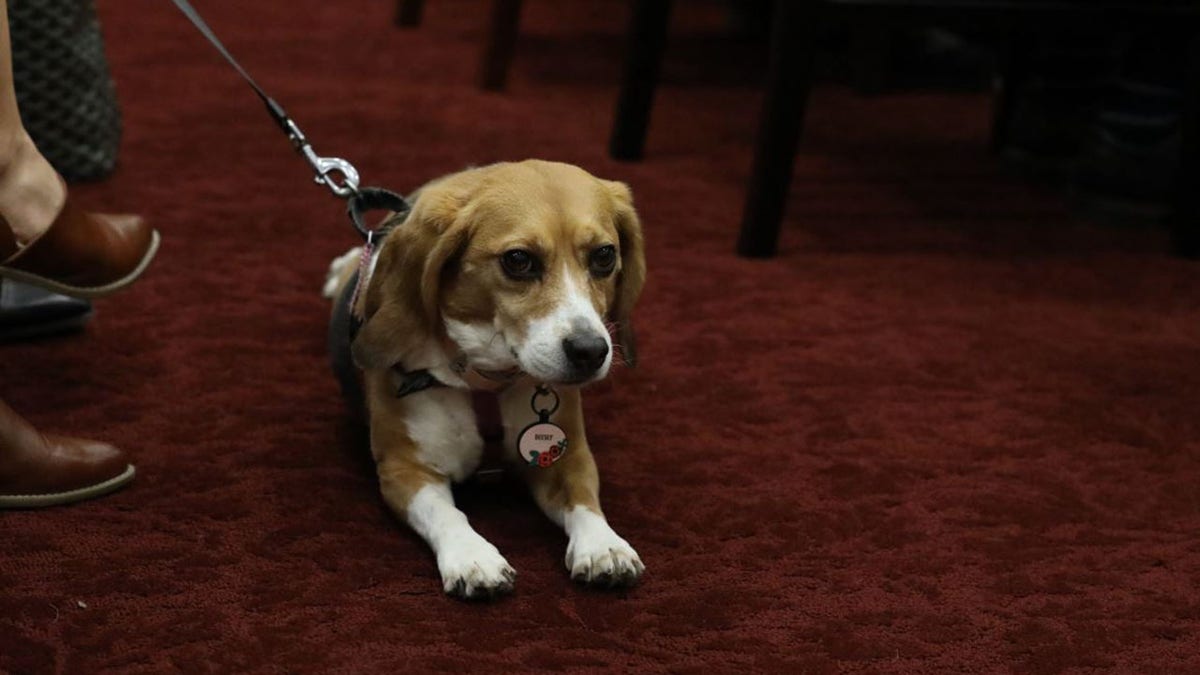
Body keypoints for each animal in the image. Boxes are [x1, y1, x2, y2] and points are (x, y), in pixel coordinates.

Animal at [324, 159, 648, 595]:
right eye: (518, 260)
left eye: (604, 256)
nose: (590, 351)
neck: (486, 381)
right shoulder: (404, 471)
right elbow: (446, 514)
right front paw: (471, 556)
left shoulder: (567, 456)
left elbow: (584, 499)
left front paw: (602, 545)